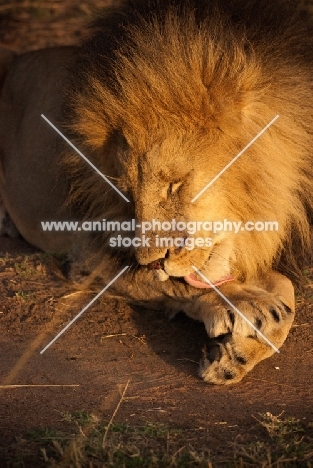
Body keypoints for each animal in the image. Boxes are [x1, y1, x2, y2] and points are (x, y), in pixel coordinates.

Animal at [0, 0, 312, 384]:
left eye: (173, 184)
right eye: (127, 194)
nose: (151, 261)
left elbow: (285, 293)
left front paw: (233, 356)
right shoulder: (86, 249)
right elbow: (180, 283)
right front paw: (243, 306)